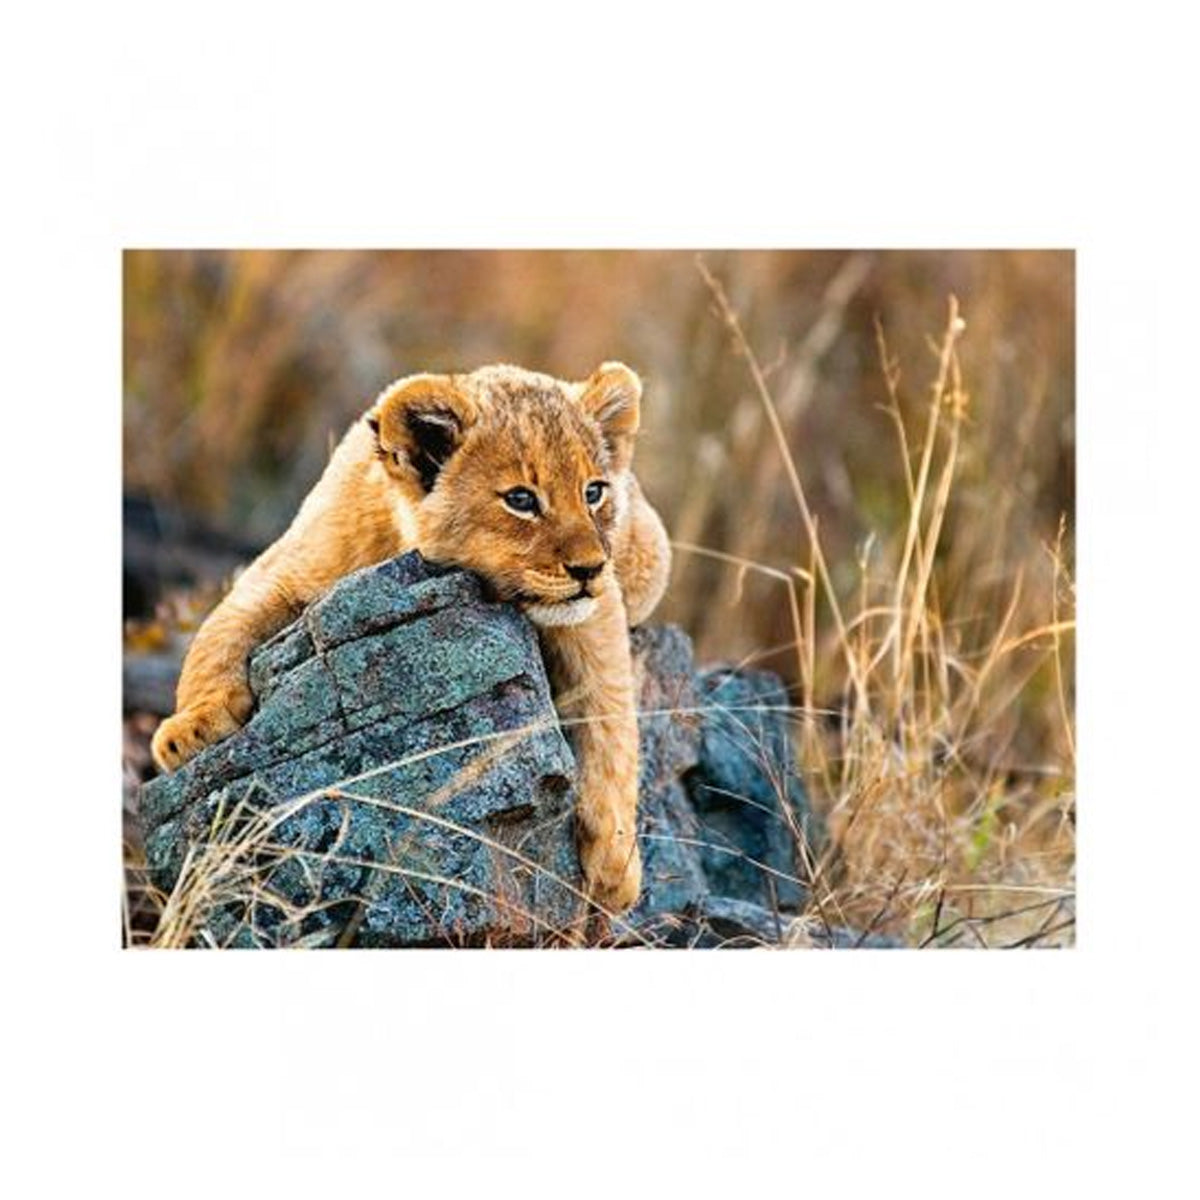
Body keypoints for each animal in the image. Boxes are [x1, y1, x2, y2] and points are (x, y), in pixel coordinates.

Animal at [151, 362, 671, 912]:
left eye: (593, 492)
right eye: (521, 500)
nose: (590, 568)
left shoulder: (596, 614)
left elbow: (611, 722)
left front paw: (615, 864)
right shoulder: (282, 569)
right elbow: (217, 634)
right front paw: (189, 731)